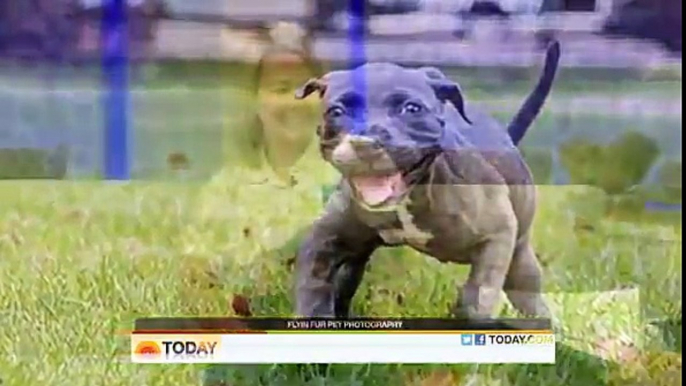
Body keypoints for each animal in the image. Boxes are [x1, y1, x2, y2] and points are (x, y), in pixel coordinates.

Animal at [292, 40, 560, 318]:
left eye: (412, 109)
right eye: (337, 111)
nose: (365, 143)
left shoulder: (497, 236)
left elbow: (477, 297)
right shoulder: (324, 238)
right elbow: (314, 286)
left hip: (520, 262)